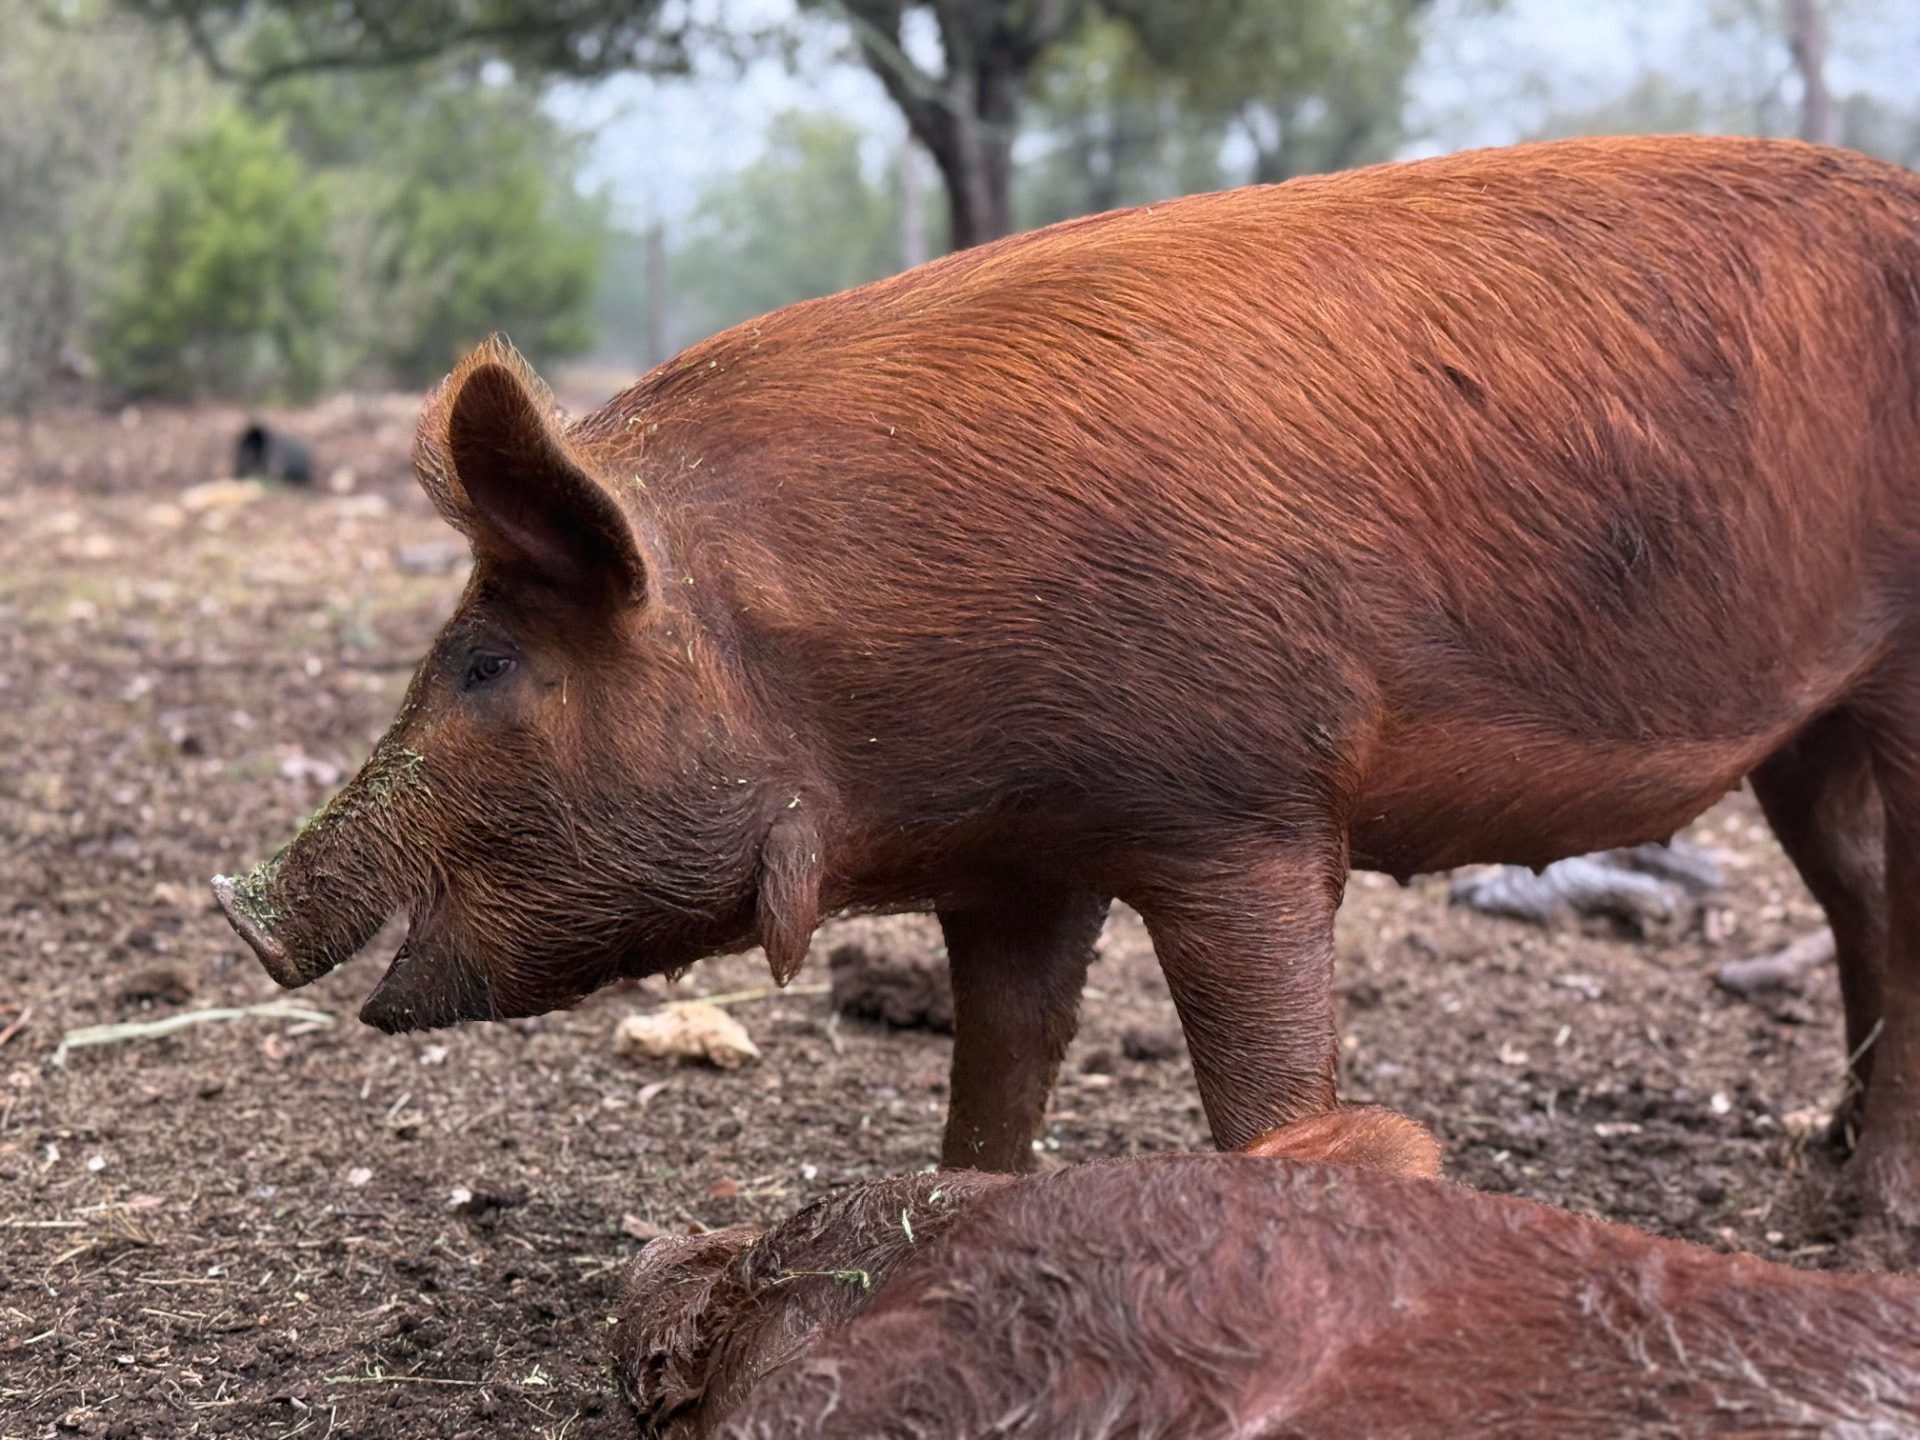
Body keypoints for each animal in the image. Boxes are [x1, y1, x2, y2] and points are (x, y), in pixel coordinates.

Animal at [214, 133, 1920, 1227]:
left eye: (488, 661)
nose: (241, 903)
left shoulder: (1241, 805)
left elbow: (1262, 1090)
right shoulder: (1023, 857)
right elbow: (998, 1075)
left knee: (1898, 924)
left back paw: (1861, 1227)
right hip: (1809, 724)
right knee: (1856, 908)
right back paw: (1821, 1170)